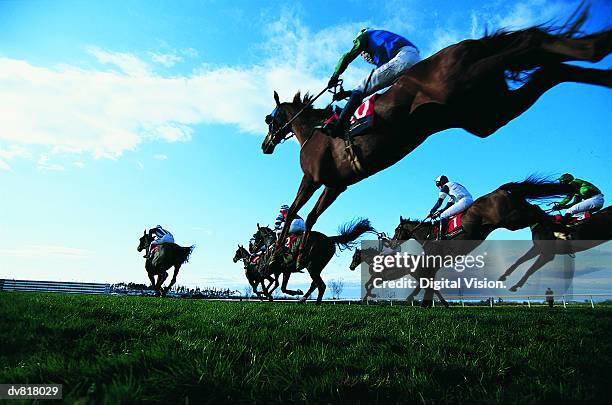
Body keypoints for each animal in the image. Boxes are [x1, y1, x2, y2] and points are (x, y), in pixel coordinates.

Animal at [262, 9, 612, 258]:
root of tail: (464, 46)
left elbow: (297, 211)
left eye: (269, 119)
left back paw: (596, 45)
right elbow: (311, 217)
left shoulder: (314, 177)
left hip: (468, 84)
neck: (313, 132)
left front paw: (282, 249)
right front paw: (299, 250)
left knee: (531, 44)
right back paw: (599, 60)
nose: (265, 145)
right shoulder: (336, 185)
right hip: (486, 112)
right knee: (551, 68)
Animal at [390, 178, 572, 304]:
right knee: (536, 210)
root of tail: (500, 190)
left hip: (511, 219)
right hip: (517, 213)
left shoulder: (434, 258)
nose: (391, 243)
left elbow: (425, 278)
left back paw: (561, 228)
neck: (428, 235)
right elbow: (427, 279)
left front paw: (415, 298)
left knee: (537, 213)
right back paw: (561, 227)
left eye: (397, 230)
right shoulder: (438, 261)